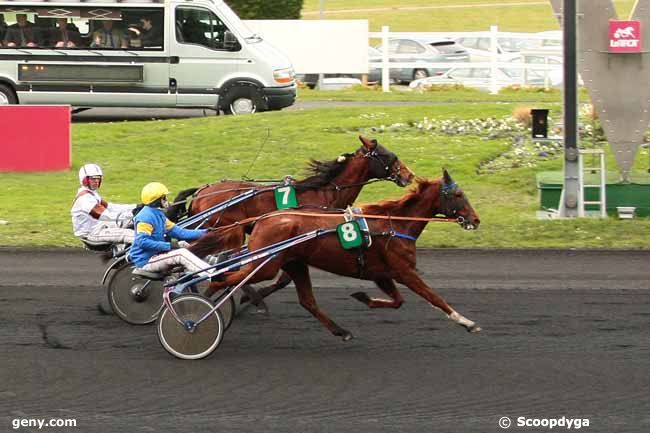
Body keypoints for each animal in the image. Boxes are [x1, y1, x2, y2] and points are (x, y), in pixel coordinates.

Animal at [190, 170, 478, 340]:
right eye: (458, 194)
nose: (475, 219)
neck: (395, 225)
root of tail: (264, 218)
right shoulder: (404, 271)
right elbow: (435, 297)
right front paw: (467, 322)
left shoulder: (381, 274)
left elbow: (397, 301)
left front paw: (363, 297)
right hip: (266, 264)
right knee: (222, 278)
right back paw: (201, 307)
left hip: (293, 263)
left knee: (307, 301)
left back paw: (341, 331)